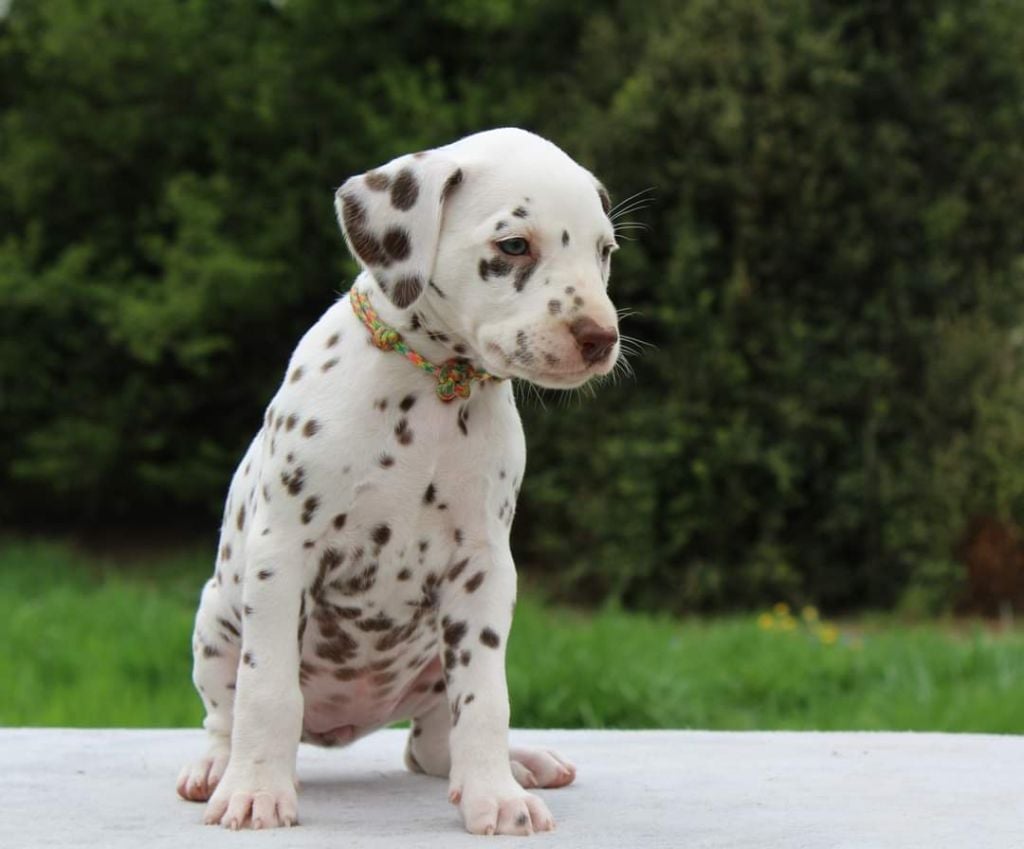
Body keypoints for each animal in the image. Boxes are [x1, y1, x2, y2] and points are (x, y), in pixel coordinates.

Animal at [176, 127, 618, 835]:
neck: (431, 387)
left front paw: (496, 795)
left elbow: (485, 700)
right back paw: (220, 768)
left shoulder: (483, 572)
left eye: (605, 251)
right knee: (224, 713)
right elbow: (267, 692)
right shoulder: (282, 556)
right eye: (513, 246)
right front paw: (257, 792)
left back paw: (519, 765)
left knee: (433, 747)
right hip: (217, 617)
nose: (600, 338)